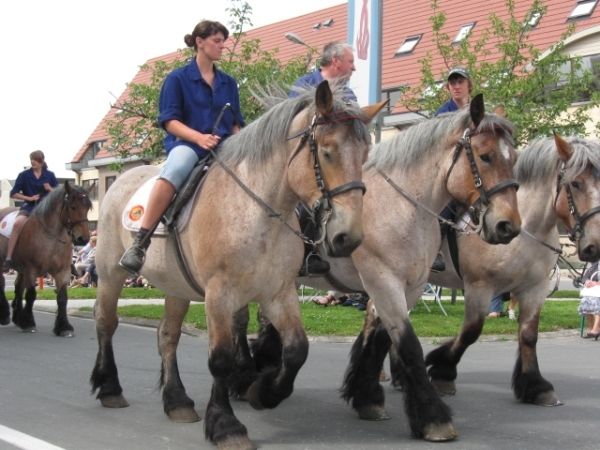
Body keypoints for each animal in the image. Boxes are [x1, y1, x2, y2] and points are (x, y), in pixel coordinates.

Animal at [0, 181, 91, 336]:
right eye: (73, 207)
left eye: (88, 208)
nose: (83, 239)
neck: (51, 238)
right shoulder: (31, 269)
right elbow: (31, 294)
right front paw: (29, 323)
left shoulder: (63, 271)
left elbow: (62, 297)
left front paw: (64, 326)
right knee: (2, 283)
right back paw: (5, 314)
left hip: (21, 269)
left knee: (18, 287)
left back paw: (17, 317)